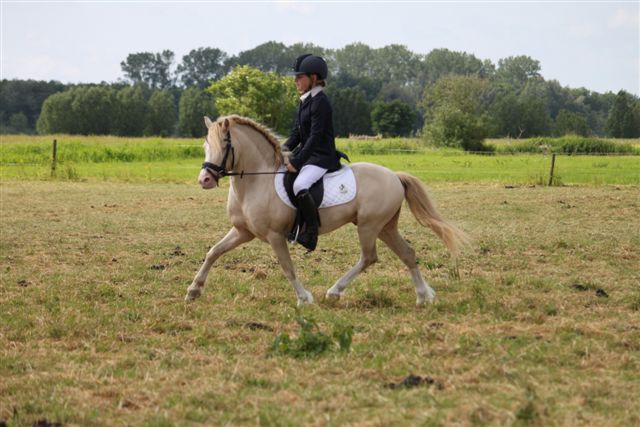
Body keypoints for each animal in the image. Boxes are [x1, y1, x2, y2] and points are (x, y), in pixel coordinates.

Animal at [186, 115, 468, 306]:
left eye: (224, 145)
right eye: (204, 146)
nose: (204, 180)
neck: (256, 181)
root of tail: (395, 176)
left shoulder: (275, 236)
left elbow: (287, 266)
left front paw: (304, 298)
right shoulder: (242, 231)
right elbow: (213, 252)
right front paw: (193, 290)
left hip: (369, 226)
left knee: (369, 257)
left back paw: (335, 291)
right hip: (385, 227)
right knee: (407, 253)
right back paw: (424, 296)